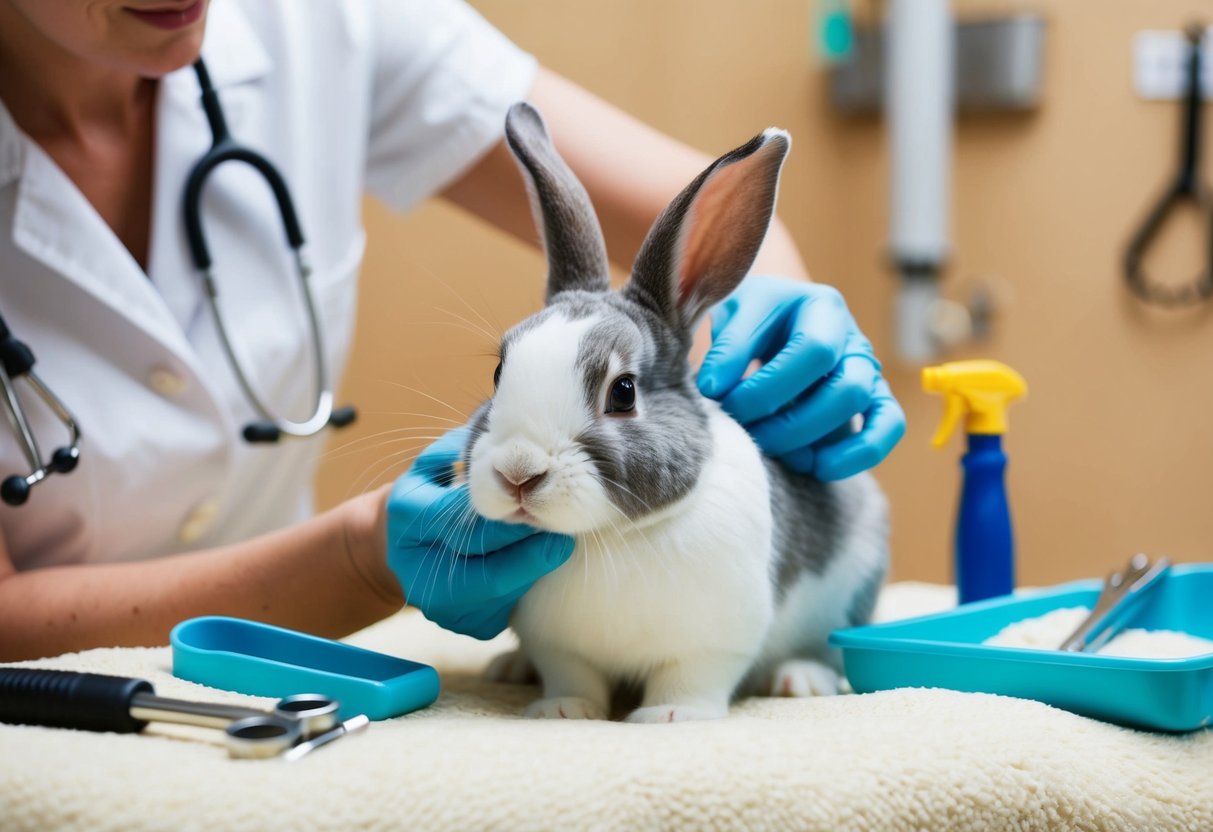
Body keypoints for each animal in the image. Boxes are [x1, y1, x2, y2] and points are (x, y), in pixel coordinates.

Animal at [464, 102, 888, 723]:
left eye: (622, 392)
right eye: (498, 372)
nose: (518, 472)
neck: (607, 537)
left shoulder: (713, 643)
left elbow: (690, 678)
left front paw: (669, 717)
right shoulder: (557, 646)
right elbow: (572, 675)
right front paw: (562, 711)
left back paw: (799, 679)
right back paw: (510, 668)